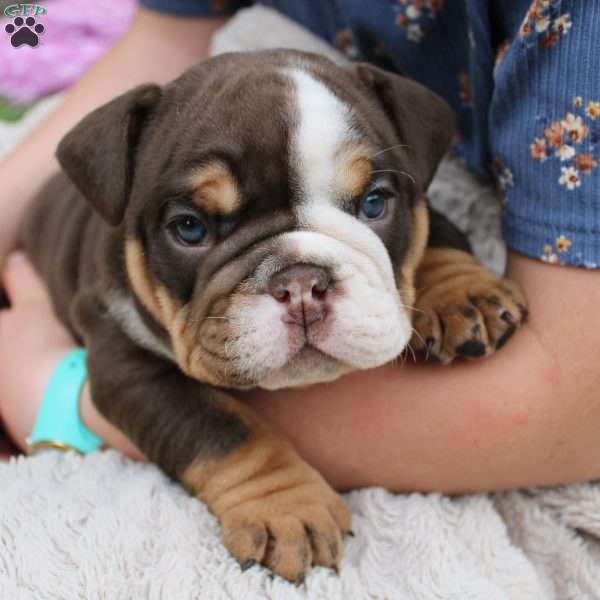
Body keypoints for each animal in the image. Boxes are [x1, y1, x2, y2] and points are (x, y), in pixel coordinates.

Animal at [22, 49, 524, 584]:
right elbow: (221, 429)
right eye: (189, 228)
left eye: (374, 203)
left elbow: (437, 229)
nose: (302, 282)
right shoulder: (127, 363)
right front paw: (287, 507)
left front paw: (460, 289)